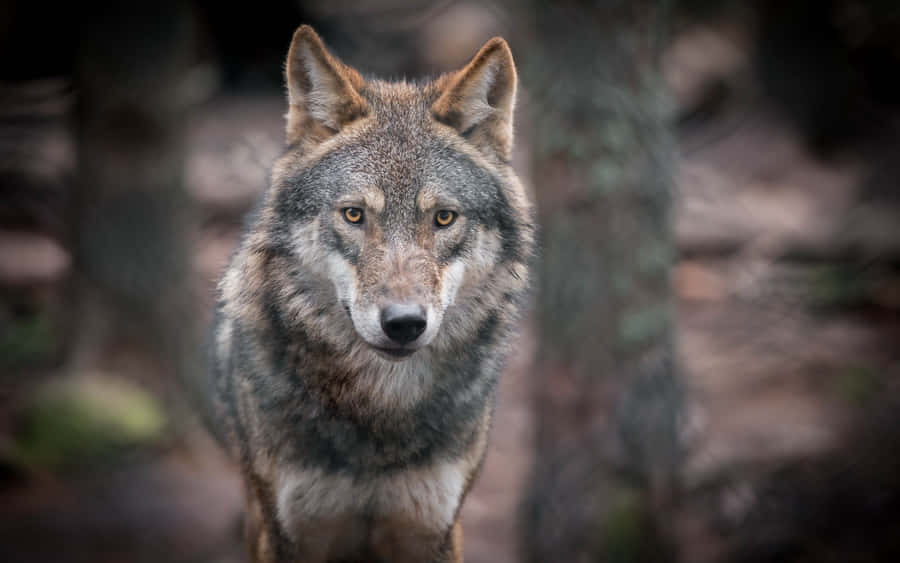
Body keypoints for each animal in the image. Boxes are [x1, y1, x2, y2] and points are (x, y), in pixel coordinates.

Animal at [208, 25, 534, 563]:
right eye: (354, 214)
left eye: (444, 217)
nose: (403, 324)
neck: (380, 413)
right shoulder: (289, 533)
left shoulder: (433, 530)